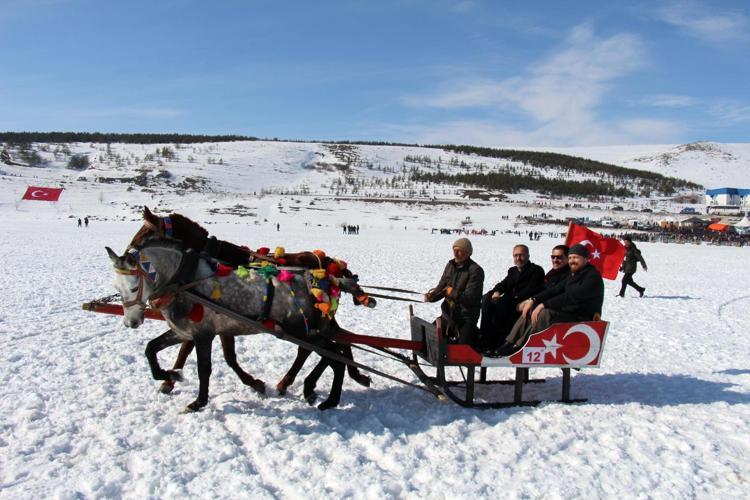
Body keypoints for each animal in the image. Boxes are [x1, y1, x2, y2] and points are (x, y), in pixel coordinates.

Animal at [107, 237, 363, 411]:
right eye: (116, 287)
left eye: (133, 287)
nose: (131, 322)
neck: (185, 281)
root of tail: (329, 279)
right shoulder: (184, 331)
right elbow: (151, 349)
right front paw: (171, 376)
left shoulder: (203, 334)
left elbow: (205, 368)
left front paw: (198, 401)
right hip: (312, 331)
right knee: (334, 351)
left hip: (306, 332)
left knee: (334, 355)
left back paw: (329, 398)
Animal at [131, 206, 373, 395]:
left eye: (145, 234)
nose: (127, 257)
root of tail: (332, 266)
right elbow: (192, 348)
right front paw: (169, 379)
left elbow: (221, 355)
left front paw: (254, 383)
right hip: (319, 319)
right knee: (337, 341)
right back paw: (348, 376)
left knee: (312, 348)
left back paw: (293, 382)